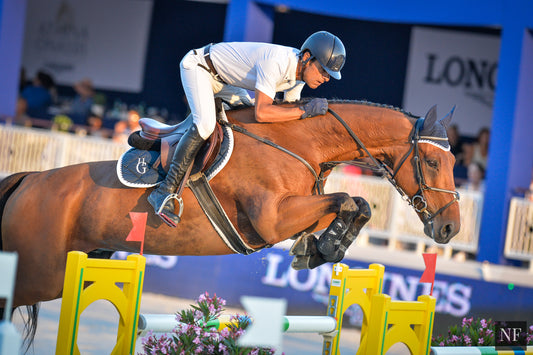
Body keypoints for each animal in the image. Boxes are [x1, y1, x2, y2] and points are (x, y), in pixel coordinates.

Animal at [0, 99, 460, 348]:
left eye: (454, 162)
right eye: (432, 161)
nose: (450, 230)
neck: (299, 143)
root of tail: (30, 178)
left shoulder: (298, 209)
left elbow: (355, 204)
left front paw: (318, 249)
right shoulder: (272, 218)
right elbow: (350, 199)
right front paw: (323, 247)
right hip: (41, 273)